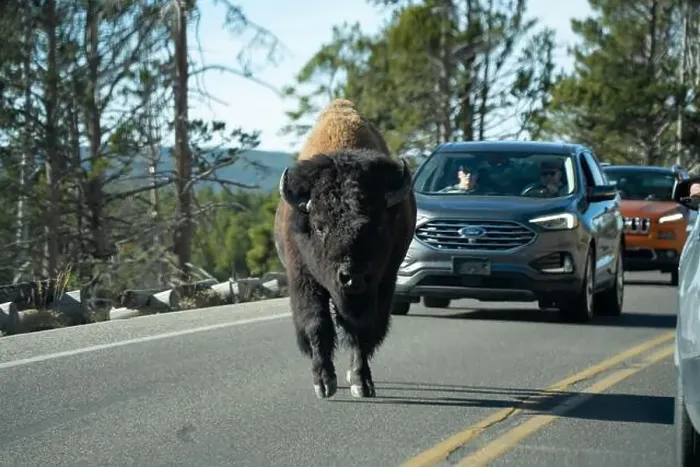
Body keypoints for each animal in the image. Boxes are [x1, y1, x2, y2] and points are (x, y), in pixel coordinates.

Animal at [274, 99, 417, 399]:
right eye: (319, 226)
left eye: (379, 225)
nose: (352, 277)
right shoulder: (303, 280)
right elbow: (317, 325)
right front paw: (323, 383)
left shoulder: (379, 285)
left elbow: (360, 330)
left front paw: (361, 382)